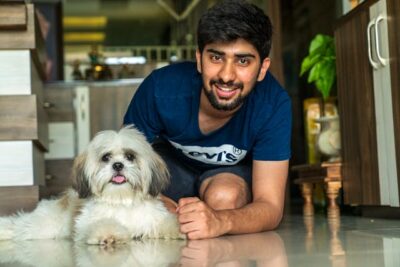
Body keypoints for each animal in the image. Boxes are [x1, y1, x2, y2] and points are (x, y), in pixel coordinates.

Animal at [0, 126, 184, 246]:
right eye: (106, 157)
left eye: (130, 156)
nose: (118, 165)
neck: (122, 199)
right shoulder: (86, 223)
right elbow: (103, 224)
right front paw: (109, 234)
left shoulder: (153, 219)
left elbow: (167, 223)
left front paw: (180, 231)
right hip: (44, 226)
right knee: (19, 226)